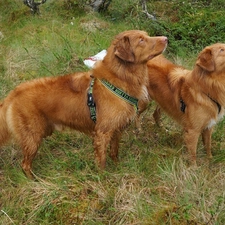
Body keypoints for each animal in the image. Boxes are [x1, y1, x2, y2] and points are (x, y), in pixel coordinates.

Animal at [0, 29, 167, 178]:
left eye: (146, 35)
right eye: (141, 40)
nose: (165, 38)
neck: (119, 78)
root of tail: (13, 93)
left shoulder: (117, 130)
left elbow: (114, 153)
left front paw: (118, 169)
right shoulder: (102, 133)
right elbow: (102, 161)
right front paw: (103, 180)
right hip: (32, 137)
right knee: (25, 164)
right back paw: (34, 180)